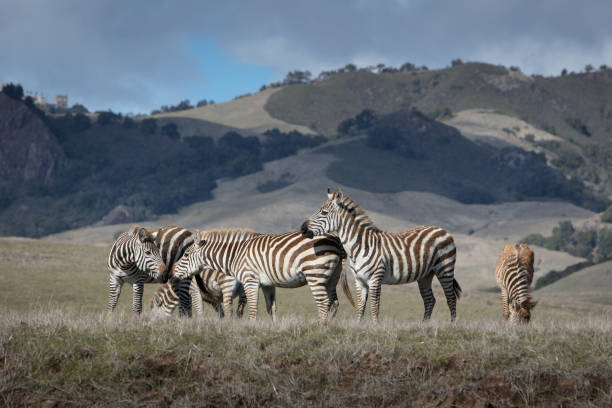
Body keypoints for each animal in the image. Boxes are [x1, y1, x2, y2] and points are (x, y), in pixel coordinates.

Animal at [170, 228, 346, 320]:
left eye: (186, 255)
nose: (172, 272)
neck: (236, 255)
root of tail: (334, 238)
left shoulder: (250, 280)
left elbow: (253, 308)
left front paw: (251, 329)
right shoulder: (268, 284)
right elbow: (271, 308)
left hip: (314, 274)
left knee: (323, 302)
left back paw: (320, 326)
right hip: (332, 276)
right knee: (334, 302)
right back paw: (328, 326)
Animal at [298, 190, 462, 324]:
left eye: (324, 212)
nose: (303, 229)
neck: (359, 246)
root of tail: (441, 229)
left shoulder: (375, 278)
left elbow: (374, 305)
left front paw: (375, 327)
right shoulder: (359, 280)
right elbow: (360, 306)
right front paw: (359, 326)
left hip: (445, 268)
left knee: (450, 297)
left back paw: (452, 325)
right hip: (426, 275)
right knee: (429, 300)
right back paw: (424, 326)